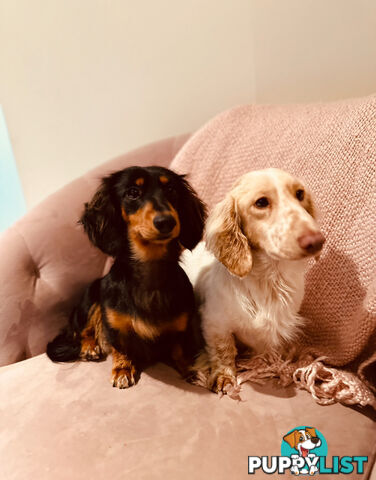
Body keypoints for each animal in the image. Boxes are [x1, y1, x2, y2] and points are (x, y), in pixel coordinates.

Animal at [47, 167, 207, 388]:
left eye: (171, 190)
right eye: (132, 193)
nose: (167, 222)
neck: (149, 267)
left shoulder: (181, 328)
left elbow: (180, 351)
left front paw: (192, 371)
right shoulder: (115, 326)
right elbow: (120, 348)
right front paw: (122, 370)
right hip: (91, 297)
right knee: (82, 332)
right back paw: (90, 347)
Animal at [187, 169, 324, 394]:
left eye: (300, 194)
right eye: (261, 202)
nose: (316, 241)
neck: (270, 280)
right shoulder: (214, 323)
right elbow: (223, 351)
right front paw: (224, 378)